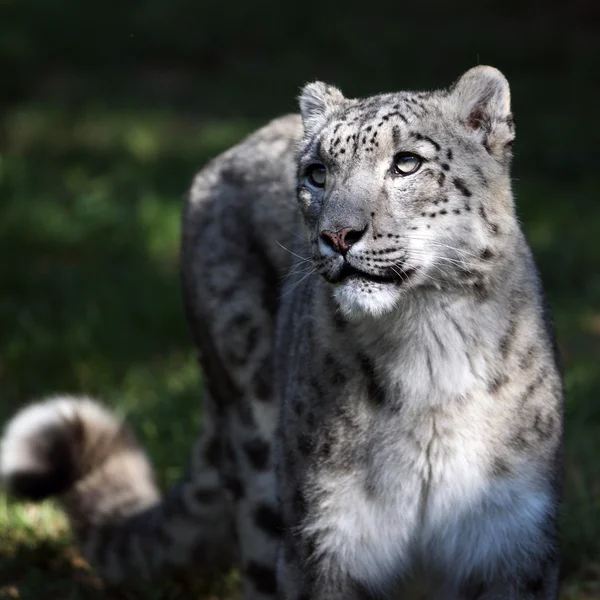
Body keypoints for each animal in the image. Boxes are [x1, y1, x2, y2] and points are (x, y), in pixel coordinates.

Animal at [1, 67, 564, 600]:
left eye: (407, 162)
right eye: (317, 173)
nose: (338, 235)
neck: (426, 352)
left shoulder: (512, 540)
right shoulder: (328, 539)